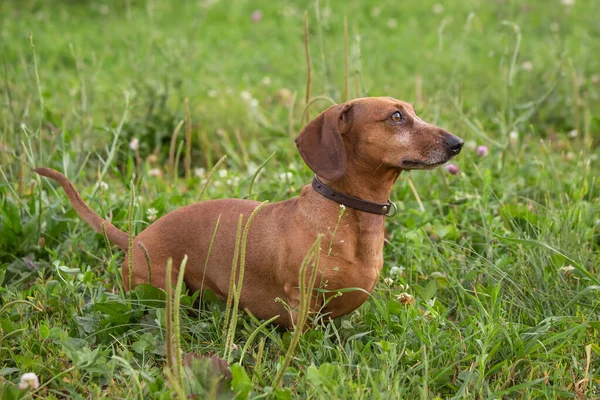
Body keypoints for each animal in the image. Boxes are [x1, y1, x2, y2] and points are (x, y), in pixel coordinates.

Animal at [34, 96, 464, 328]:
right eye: (396, 117)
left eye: (412, 111)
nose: (457, 143)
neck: (346, 216)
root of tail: (137, 238)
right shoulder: (300, 303)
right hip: (160, 294)